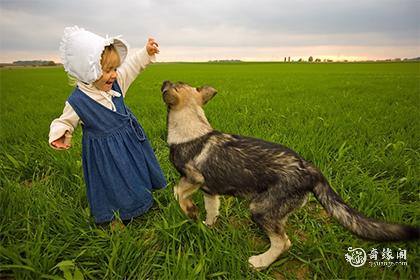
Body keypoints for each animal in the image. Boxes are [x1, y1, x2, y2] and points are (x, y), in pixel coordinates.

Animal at [160, 80, 416, 270]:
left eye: (175, 83)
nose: (164, 80)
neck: (192, 127)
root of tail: (310, 169)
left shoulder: (194, 178)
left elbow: (177, 191)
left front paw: (189, 210)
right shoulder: (210, 190)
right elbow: (212, 210)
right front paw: (206, 224)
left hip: (260, 208)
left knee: (283, 242)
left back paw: (260, 263)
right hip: (275, 210)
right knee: (284, 237)